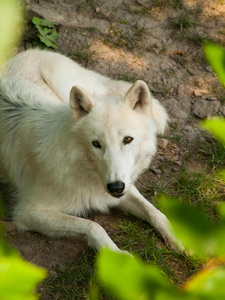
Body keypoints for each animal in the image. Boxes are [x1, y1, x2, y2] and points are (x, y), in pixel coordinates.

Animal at [0, 49, 183, 253]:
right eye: (96, 144)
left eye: (127, 139)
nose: (115, 187)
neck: (79, 167)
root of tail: (25, 53)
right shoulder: (28, 212)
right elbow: (93, 225)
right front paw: (118, 256)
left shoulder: (124, 184)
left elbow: (154, 211)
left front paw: (179, 236)